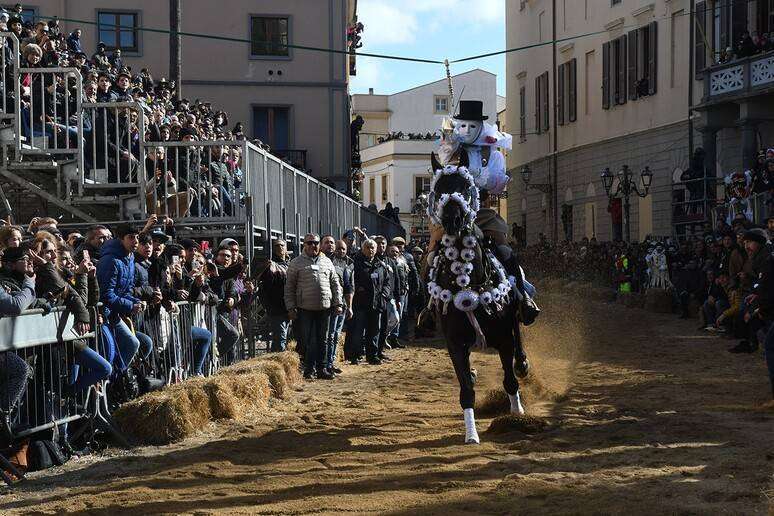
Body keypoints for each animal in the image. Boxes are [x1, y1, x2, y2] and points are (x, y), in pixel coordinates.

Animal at [425, 152, 530, 444]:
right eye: (439, 190)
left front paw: (516, 414)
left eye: (464, 187)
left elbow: (509, 379)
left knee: (519, 336)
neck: (468, 282)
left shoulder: (504, 338)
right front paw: (471, 433)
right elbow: (466, 390)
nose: (452, 219)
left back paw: (523, 363)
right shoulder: (455, 344)